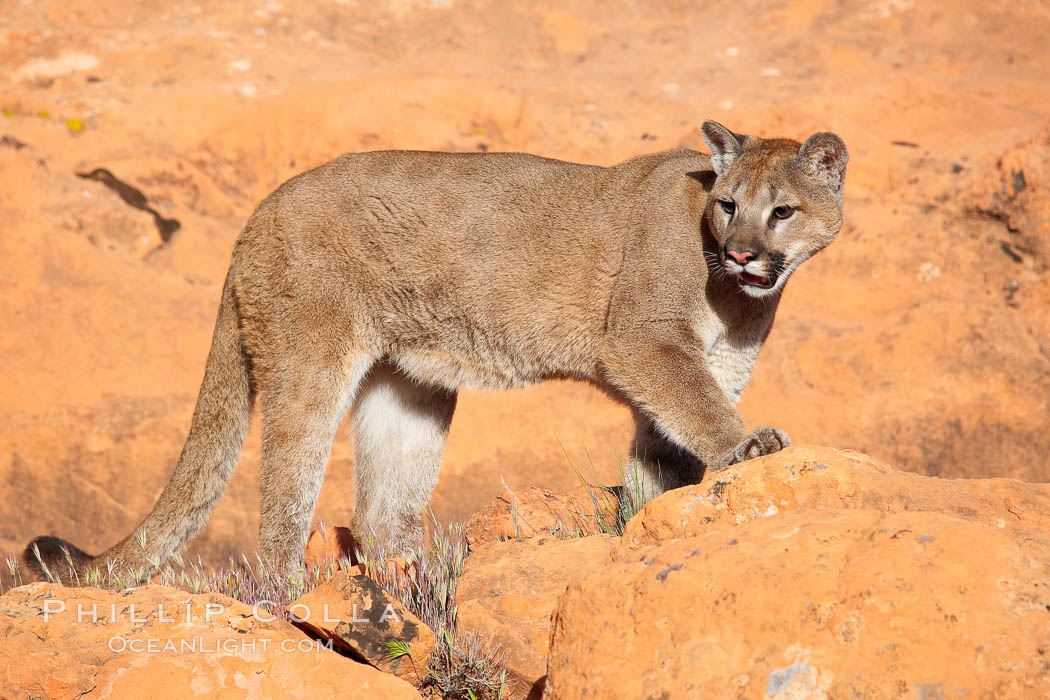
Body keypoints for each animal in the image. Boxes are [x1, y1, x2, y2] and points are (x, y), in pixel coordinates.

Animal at [24, 120, 848, 579]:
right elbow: (699, 414)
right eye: (728, 205)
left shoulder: (705, 366)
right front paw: (750, 447)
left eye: (782, 211)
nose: (741, 253)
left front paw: (645, 523)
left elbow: (662, 454)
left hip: (409, 389)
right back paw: (295, 594)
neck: (737, 301)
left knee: (380, 513)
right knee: (282, 505)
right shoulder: (646, 343)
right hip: (308, 365)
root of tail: (257, 214)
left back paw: (408, 584)